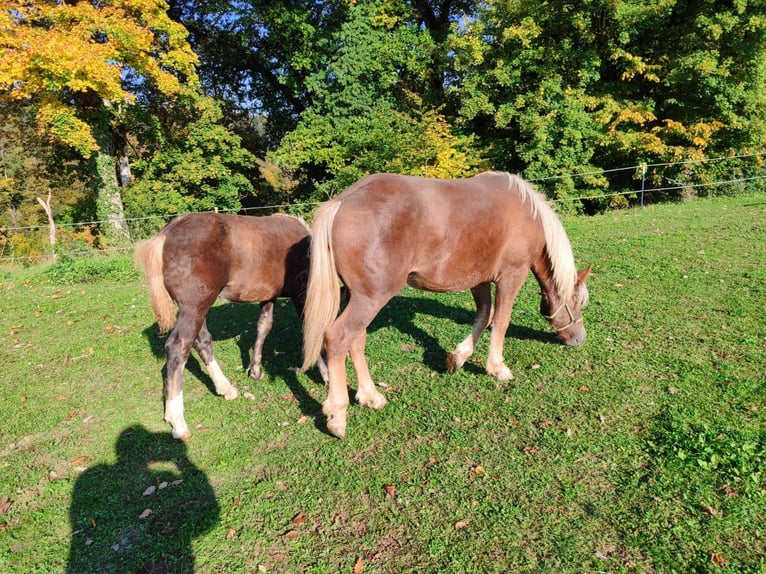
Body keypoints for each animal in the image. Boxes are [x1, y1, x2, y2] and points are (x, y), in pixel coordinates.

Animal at [134, 211, 326, 440]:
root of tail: (167, 234)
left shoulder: (269, 296)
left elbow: (264, 327)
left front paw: (255, 369)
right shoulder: (301, 294)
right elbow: (313, 329)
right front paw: (326, 375)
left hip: (196, 309)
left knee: (202, 342)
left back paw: (226, 389)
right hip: (195, 307)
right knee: (178, 348)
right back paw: (178, 422)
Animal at [301, 171, 591, 438]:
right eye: (578, 300)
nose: (579, 338)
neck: (527, 213)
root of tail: (342, 202)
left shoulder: (479, 279)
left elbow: (485, 316)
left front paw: (458, 357)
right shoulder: (512, 275)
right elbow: (501, 320)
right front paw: (497, 367)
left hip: (359, 297)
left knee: (356, 340)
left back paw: (371, 396)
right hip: (371, 298)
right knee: (338, 338)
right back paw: (338, 416)